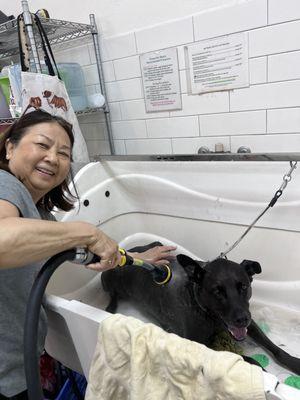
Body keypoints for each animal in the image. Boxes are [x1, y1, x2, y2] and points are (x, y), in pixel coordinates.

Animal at [102, 242, 300, 376]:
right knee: (112, 293)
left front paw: (294, 362)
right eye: (217, 291)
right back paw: (110, 307)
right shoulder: (198, 345)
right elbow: (243, 358)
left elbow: (274, 348)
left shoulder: (249, 323)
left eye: (243, 287)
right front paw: (258, 369)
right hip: (109, 275)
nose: (242, 319)